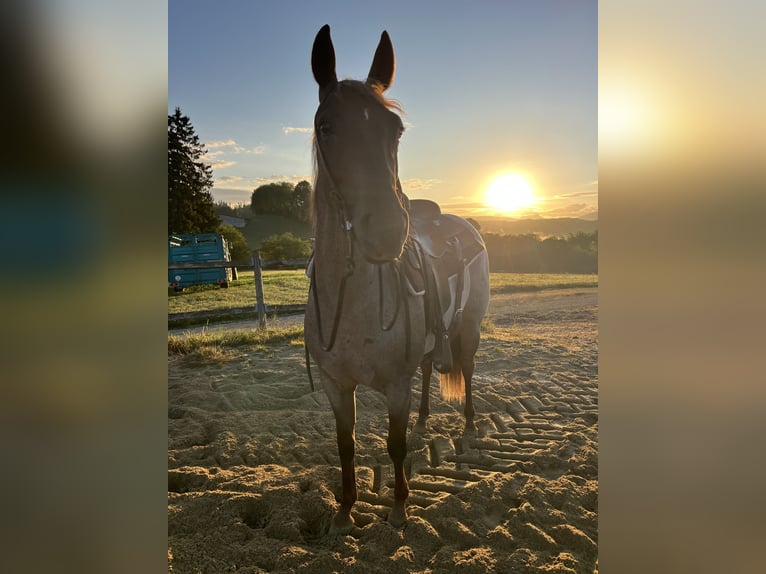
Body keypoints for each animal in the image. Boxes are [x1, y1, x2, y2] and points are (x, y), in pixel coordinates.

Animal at [304, 24, 490, 535]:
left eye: (396, 130)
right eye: (327, 126)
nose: (387, 230)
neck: (353, 304)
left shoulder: (394, 385)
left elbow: (395, 444)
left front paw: (400, 506)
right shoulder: (336, 385)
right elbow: (345, 445)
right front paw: (345, 509)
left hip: (468, 328)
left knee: (466, 368)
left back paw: (469, 425)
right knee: (429, 368)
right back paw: (427, 418)